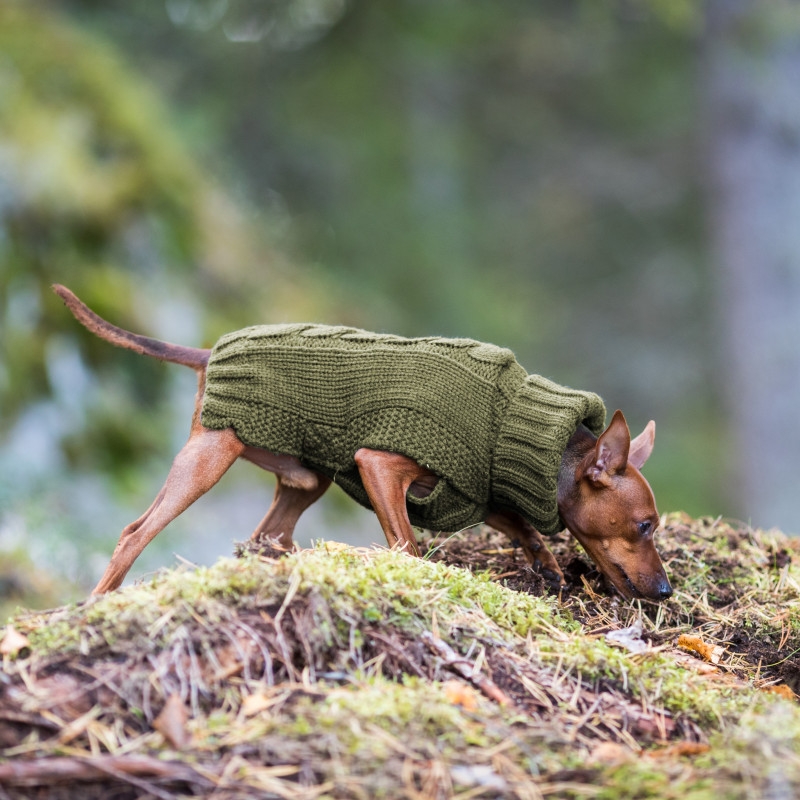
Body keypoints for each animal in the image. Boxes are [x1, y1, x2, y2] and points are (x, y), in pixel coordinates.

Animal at [53, 282, 672, 600]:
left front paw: (544, 563)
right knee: (135, 534)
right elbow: (409, 545)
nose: (666, 590)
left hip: (306, 477)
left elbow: (519, 524)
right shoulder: (379, 464)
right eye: (644, 526)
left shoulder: (478, 487)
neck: (515, 424)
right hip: (210, 456)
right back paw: (98, 600)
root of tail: (210, 352)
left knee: (266, 538)